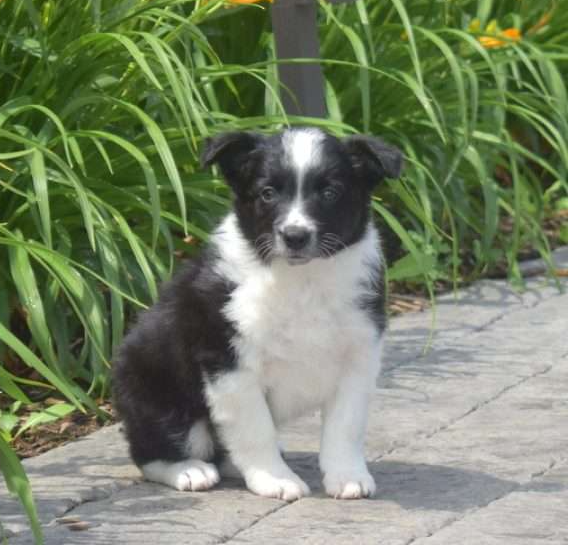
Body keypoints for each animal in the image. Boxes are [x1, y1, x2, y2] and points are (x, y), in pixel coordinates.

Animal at [113, 127, 402, 500]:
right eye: (267, 193)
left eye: (329, 193)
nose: (295, 236)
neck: (300, 280)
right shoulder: (229, 363)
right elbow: (255, 429)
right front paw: (275, 479)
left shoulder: (358, 356)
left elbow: (346, 425)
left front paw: (347, 476)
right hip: (157, 395)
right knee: (153, 451)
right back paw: (188, 470)